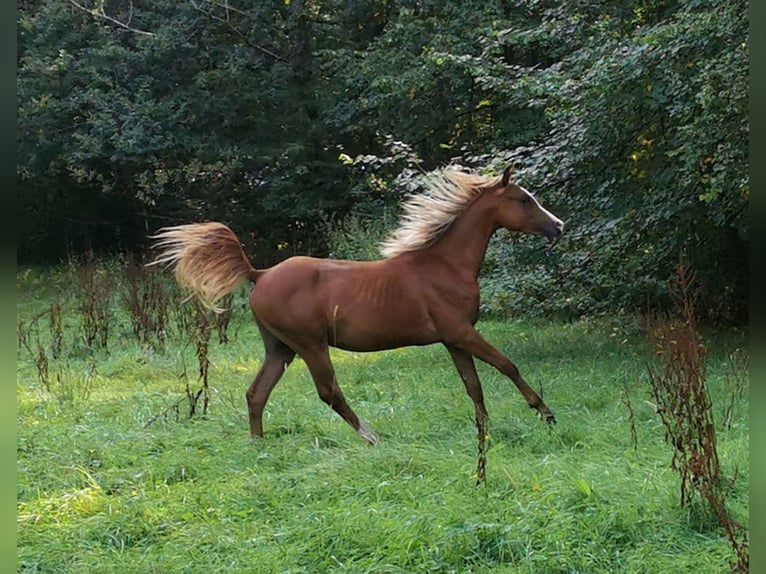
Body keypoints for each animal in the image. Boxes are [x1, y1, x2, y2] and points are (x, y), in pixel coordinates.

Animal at [150, 166, 568, 482]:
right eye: (524, 200)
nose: (559, 226)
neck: (445, 265)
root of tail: (260, 273)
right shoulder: (462, 332)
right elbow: (506, 365)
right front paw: (545, 414)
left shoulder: (453, 340)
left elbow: (474, 387)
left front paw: (484, 432)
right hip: (310, 345)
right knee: (329, 392)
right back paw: (372, 437)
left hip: (279, 348)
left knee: (256, 393)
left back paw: (259, 446)